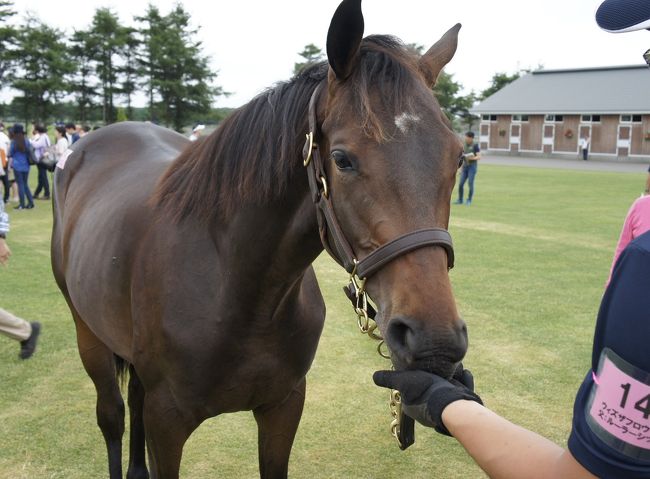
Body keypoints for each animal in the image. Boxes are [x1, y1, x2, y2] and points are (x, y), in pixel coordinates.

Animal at [50, 1, 466, 478]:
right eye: (342, 159)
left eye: (457, 157)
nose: (434, 340)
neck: (237, 290)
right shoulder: (165, 423)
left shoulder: (283, 407)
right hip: (89, 334)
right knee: (113, 416)